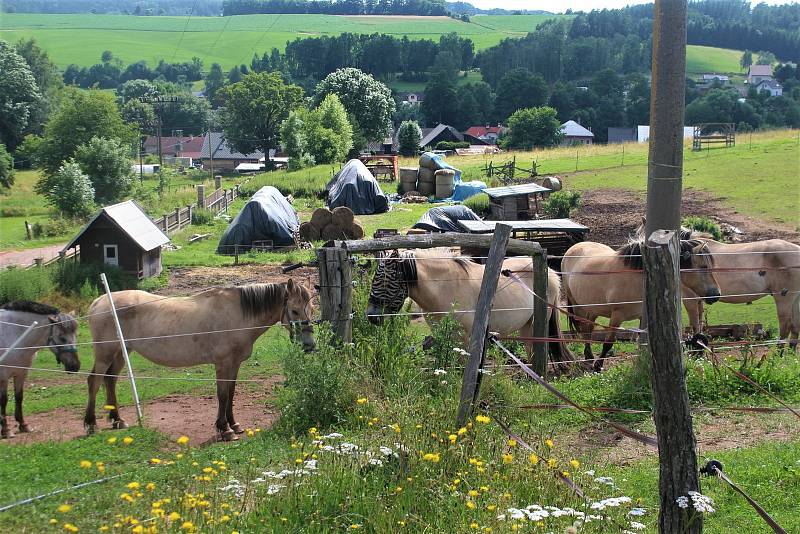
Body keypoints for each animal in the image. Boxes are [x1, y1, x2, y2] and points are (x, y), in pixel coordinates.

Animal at [0, 302, 80, 440]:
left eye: (76, 335)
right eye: (62, 338)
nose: (75, 366)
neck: (14, 333)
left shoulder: (21, 374)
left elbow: (19, 397)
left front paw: (23, 425)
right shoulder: (4, 376)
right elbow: (4, 400)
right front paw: (6, 430)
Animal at [84, 278, 314, 442]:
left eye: (311, 309)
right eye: (294, 310)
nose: (309, 345)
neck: (237, 315)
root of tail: (98, 302)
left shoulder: (235, 364)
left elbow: (231, 393)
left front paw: (234, 424)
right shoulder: (223, 364)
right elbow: (222, 395)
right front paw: (225, 429)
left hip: (121, 353)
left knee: (110, 380)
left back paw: (118, 420)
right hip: (105, 354)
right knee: (94, 381)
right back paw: (91, 424)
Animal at [362, 249, 576, 366]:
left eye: (383, 280)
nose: (371, 316)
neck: (446, 288)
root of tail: (551, 273)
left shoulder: (465, 337)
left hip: (535, 324)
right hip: (525, 325)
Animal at [560, 240, 720, 372]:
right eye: (703, 266)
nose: (716, 294)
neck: (640, 278)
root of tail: (573, 248)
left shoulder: (643, 316)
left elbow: (642, 342)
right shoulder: (617, 316)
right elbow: (608, 343)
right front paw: (598, 365)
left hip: (593, 308)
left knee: (589, 328)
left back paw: (589, 355)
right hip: (578, 306)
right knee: (584, 330)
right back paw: (589, 357)